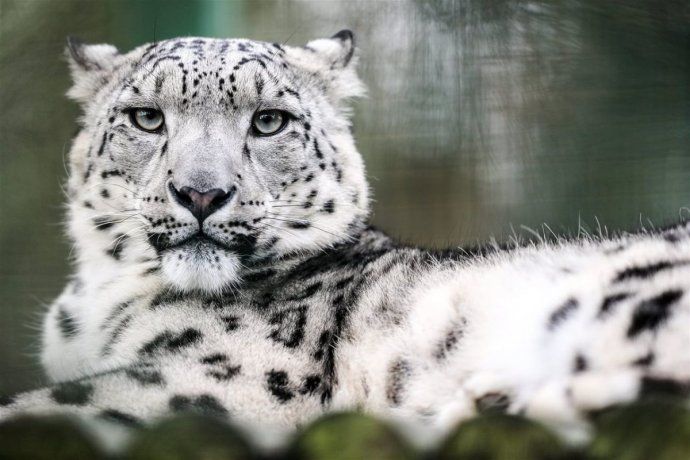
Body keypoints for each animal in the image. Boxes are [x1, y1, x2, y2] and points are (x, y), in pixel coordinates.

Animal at [1, 30, 689, 448]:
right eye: (147, 117)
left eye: (269, 121)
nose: (201, 193)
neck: (99, 301)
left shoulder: (210, 383)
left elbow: (50, 404)